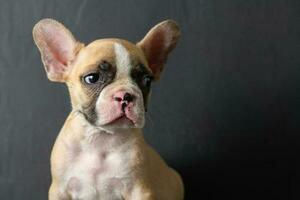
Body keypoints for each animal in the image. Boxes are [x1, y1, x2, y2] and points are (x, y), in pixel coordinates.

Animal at [32, 18, 183, 200]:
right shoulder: (60, 190)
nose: (125, 95)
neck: (100, 139)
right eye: (92, 78)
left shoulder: (139, 191)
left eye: (147, 80)